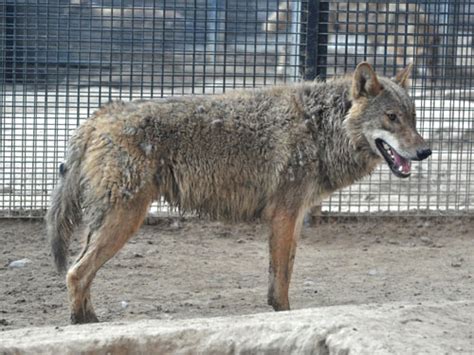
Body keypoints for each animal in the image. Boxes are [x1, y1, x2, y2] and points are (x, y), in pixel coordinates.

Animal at [46, 62, 432, 324]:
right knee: (75, 273)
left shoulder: (293, 218)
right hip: (124, 221)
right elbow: (282, 280)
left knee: (80, 273)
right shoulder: (283, 215)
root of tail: (97, 117)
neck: (320, 127)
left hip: (109, 222)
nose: (426, 151)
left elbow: (281, 274)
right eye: (392, 117)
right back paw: (85, 325)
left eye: (413, 118)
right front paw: (284, 314)